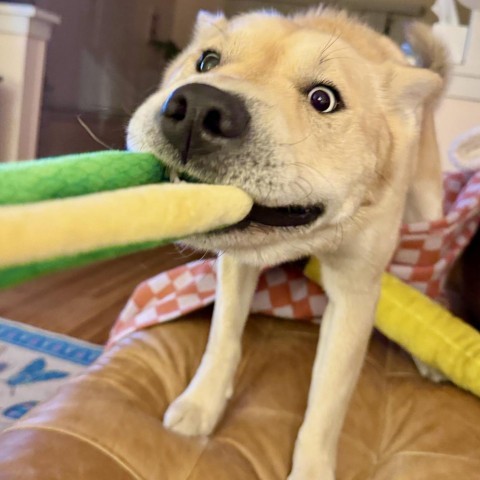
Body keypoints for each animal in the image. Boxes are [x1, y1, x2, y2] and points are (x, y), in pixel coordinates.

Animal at [125, 5, 448, 478]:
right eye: (207, 61)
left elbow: (327, 400)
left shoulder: (355, 294)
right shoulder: (237, 263)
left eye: (323, 99)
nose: (198, 110)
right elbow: (223, 339)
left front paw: (311, 468)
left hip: (427, 204)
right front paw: (201, 404)